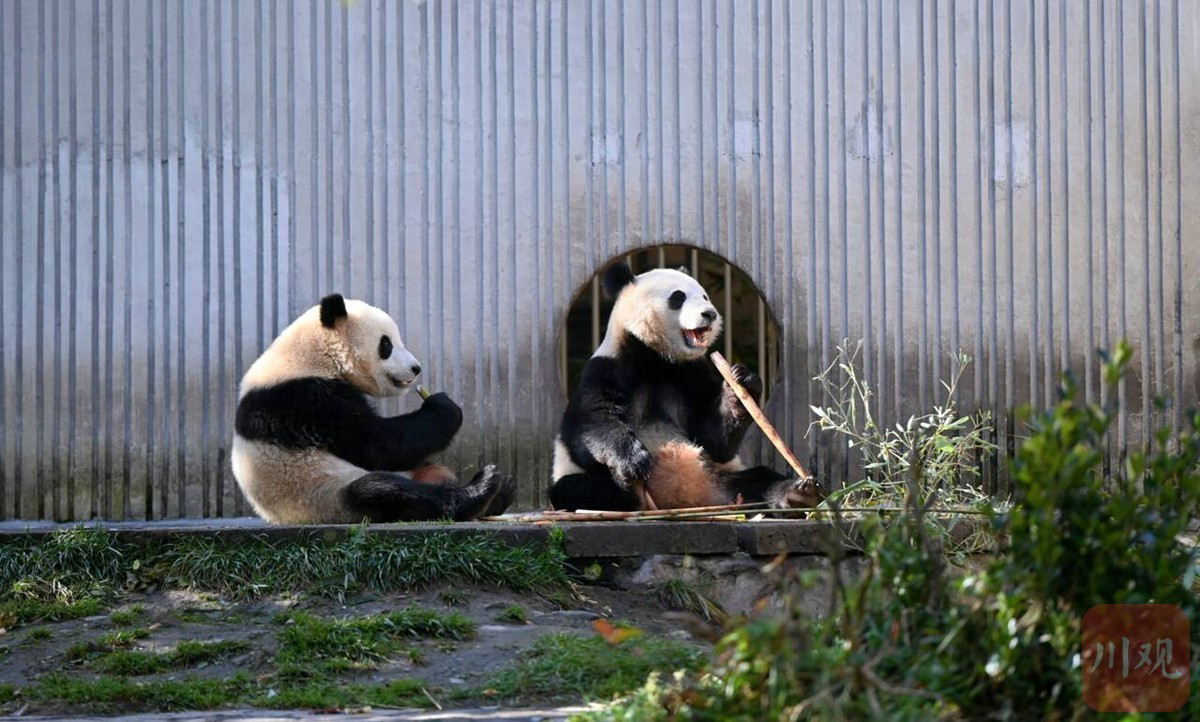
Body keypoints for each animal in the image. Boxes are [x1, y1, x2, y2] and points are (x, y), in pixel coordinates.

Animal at [231, 292, 513, 522]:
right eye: (386, 344)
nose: (416, 368)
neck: (312, 355)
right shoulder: (304, 401)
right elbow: (374, 443)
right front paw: (444, 407)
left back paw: (499, 494)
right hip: (324, 493)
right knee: (383, 490)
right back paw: (481, 491)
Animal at [549, 261, 820, 508]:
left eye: (705, 296)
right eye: (678, 297)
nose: (710, 314)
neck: (656, 357)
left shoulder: (691, 373)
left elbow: (712, 438)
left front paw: (742, 383)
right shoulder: (608, 367)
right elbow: (591, 424)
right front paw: (634, 460)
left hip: (721, 475)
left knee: (758, 479)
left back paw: (796, 494)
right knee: (577, 489)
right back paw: (627, 493)